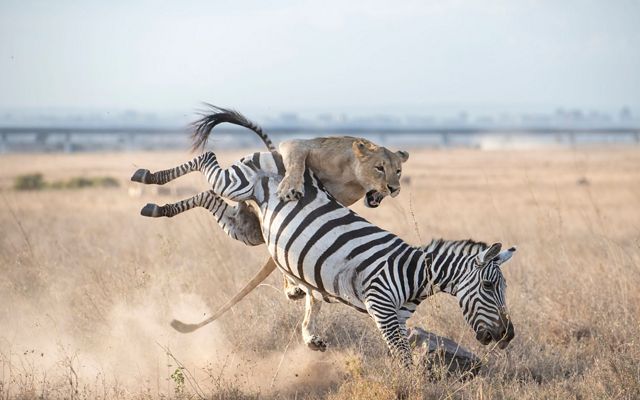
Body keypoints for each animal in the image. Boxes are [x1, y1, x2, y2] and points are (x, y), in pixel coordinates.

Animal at [133, 150, 516, 366]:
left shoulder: (398, 318)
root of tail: (277, 154)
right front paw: (408, 386)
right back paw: (149, 176)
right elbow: (405, 360)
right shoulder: (381, 308)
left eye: (501, 288)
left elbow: (400, 353)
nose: (507, 336)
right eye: (488, 286)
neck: (413, 272)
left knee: (207, 197)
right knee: (207, 159)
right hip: (237, 183)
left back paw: (159, 207)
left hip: (244, 225)